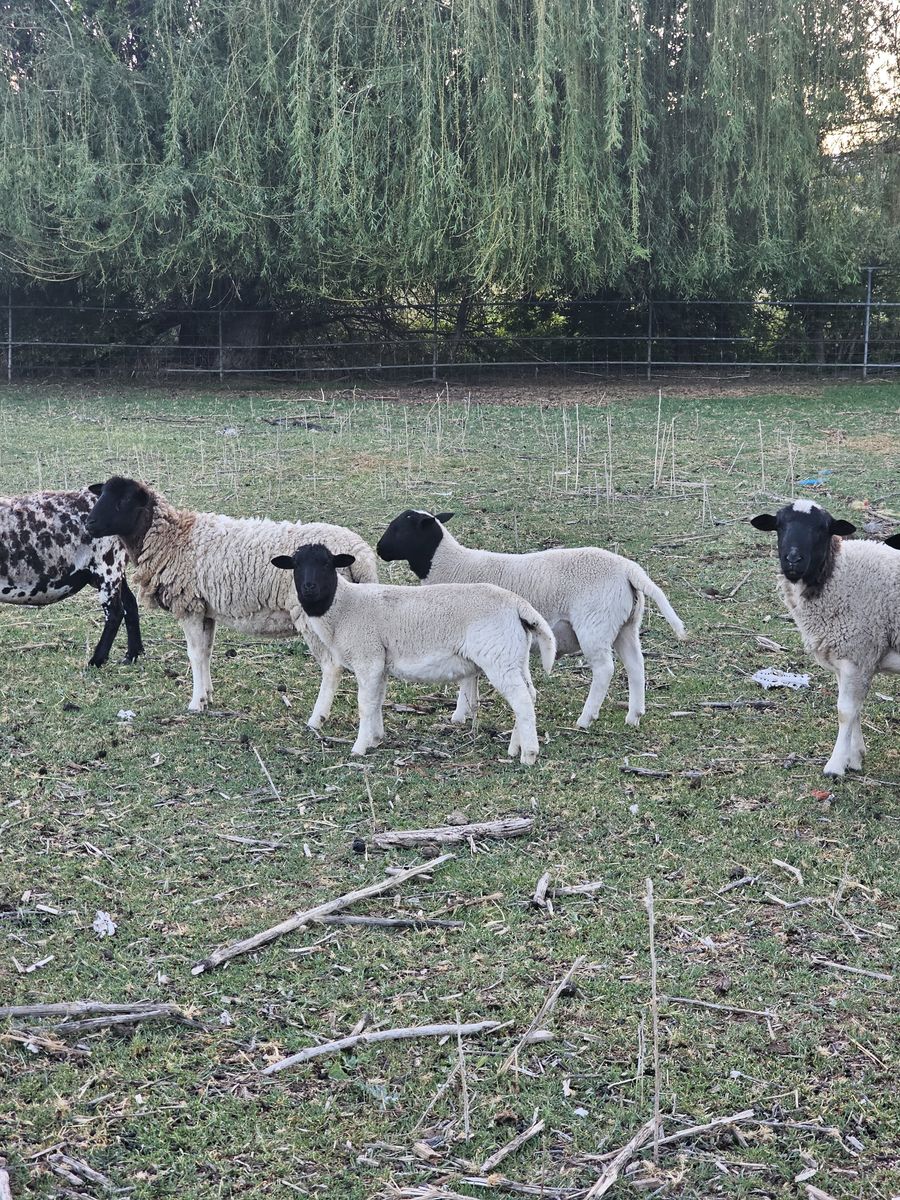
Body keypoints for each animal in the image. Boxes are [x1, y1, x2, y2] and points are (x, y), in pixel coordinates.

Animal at [0, 487, 143, 666]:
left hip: (108, 565)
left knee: (115, 613)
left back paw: (96, 660)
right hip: (114, 570)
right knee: (130, 604)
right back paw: (132, 655)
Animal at [85, 476, 377, 717]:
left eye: (124, 500)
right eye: (102, 494)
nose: (89, 524)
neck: (172, 538)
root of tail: (361, 555)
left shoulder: (189, 605)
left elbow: (194, 653)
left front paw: (195, 703)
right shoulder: (205, 609)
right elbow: (206, 652)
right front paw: (207, 696)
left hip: (314, 614)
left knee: (331, 666)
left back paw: (317, 719)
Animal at [272, 542, 557, 763]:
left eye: (327, 564)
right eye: (295, 565)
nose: (309, 587)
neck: (344, 608)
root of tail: (518, 605)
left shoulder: (368, 657)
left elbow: (365, 704)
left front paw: (359, 748)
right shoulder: (380, 662)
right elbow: (377, 700)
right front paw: (375, 739)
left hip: (498, 657)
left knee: (521, 700)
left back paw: (528, 755)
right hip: (514, 656)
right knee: (529, 695)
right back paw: (515, 748)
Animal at [375, 509, 687, 730]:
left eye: (399, 527)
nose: (379, 549)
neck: (449, 565)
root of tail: (628, 570)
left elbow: (466, 680)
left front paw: (459, 714)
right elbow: (471, 676)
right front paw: (469, 712)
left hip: (594, 624)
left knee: (605, 670)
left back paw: (586, 718)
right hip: (626, 625)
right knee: (636, 666)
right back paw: (634, 716)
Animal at [751, 499, 900, 777]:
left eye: (822, 529)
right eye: (779, 525)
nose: (793, 559)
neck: (836, 574)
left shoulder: (857, 653)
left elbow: (845, 711)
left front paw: (835, 766)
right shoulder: (845, 657)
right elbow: (855, 710)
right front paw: (855, 757)